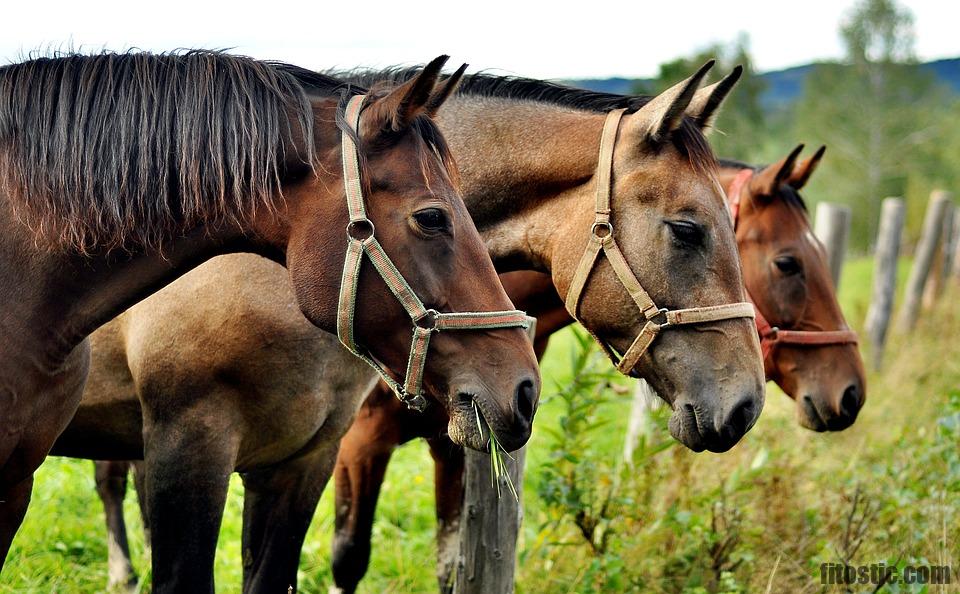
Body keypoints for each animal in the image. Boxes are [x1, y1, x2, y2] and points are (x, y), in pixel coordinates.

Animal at [324, 145, 872, 592]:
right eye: (788, 263)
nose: (851, 392)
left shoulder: (456, 442)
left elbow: (450, 565)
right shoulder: (359, 444)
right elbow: (348, 559)